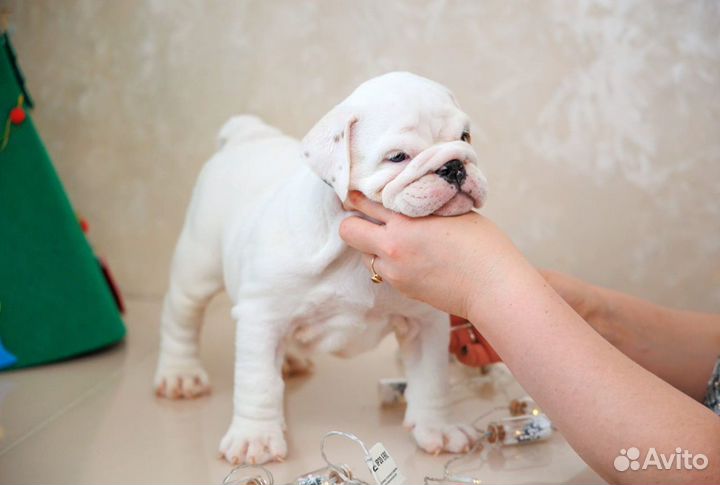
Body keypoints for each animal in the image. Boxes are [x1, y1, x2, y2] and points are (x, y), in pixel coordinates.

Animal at [154, 71, 486, 462]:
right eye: (397, 157)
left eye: (464, 137)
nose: (454, 166)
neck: (353, 251)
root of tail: (247, 135)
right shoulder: (261, 317)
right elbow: (257, 382)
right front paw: (255, 437)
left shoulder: (426, 322)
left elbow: (432, 380)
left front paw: (439, 428)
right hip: (197, 265)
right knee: (181, 318)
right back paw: (180, 374)